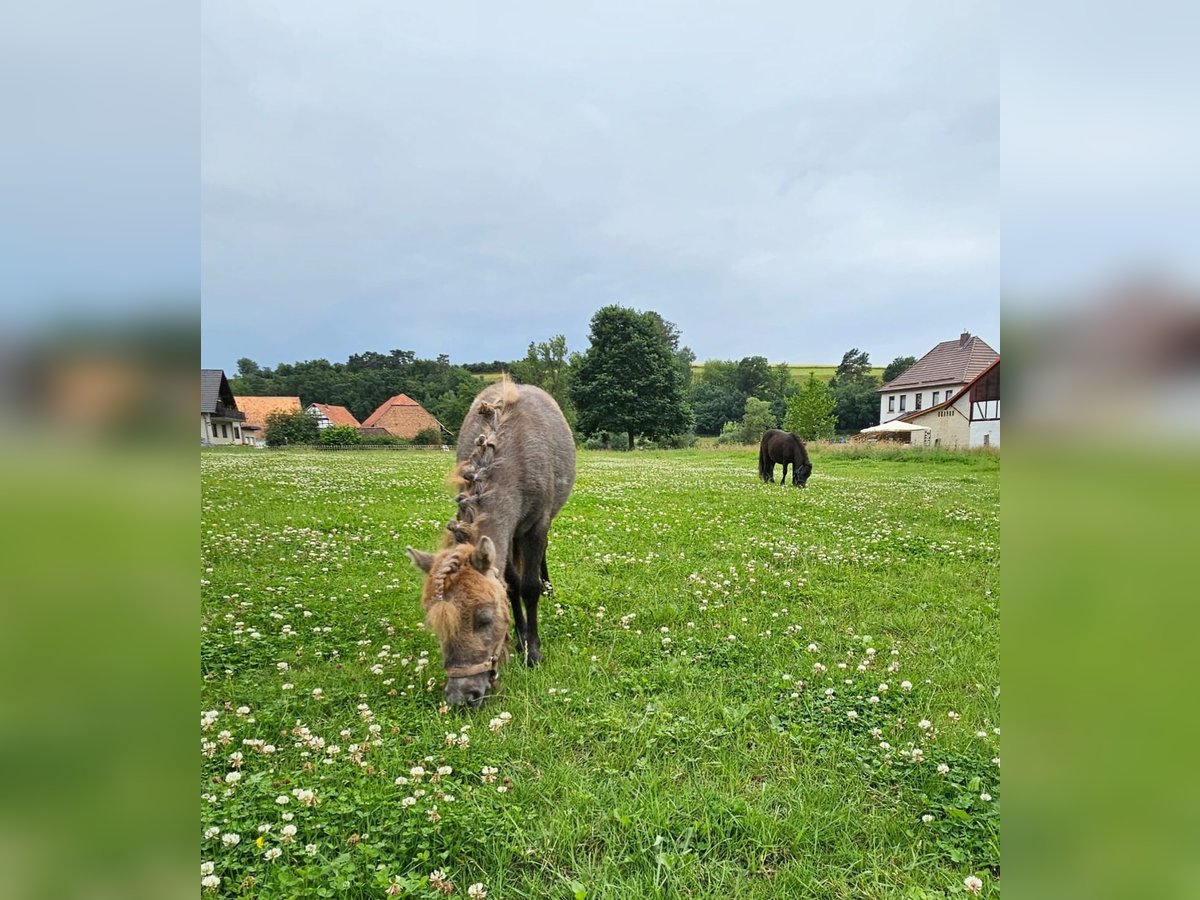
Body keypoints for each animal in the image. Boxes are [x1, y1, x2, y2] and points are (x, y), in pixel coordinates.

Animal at [408, 376, 576, 710]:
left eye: (484, 618)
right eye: (436, 624)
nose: (462, 696)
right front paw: (521, 637)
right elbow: (510, 585)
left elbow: (529, 587)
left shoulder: (537, 524)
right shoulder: (506, 536)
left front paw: (533, 651)